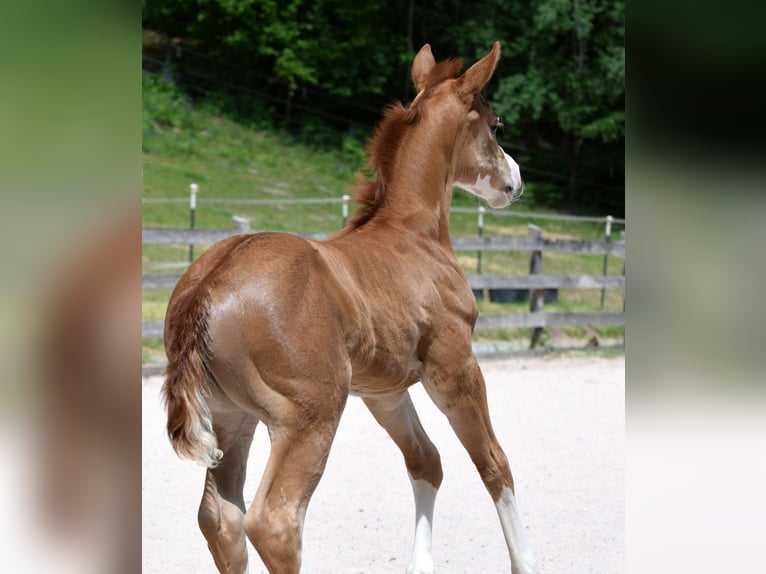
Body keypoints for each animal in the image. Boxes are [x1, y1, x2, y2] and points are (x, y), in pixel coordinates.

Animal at [162, 42, 540, 574]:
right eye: (496, 123)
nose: (516, 180)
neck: (414, 234)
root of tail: (208, 285)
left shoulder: (384, 390)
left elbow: (426, 460)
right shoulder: (454, 368)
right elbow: (493, 462)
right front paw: (526, 561)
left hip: (232, 416)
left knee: (222, 518)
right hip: (310, 414)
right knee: (276, 521)